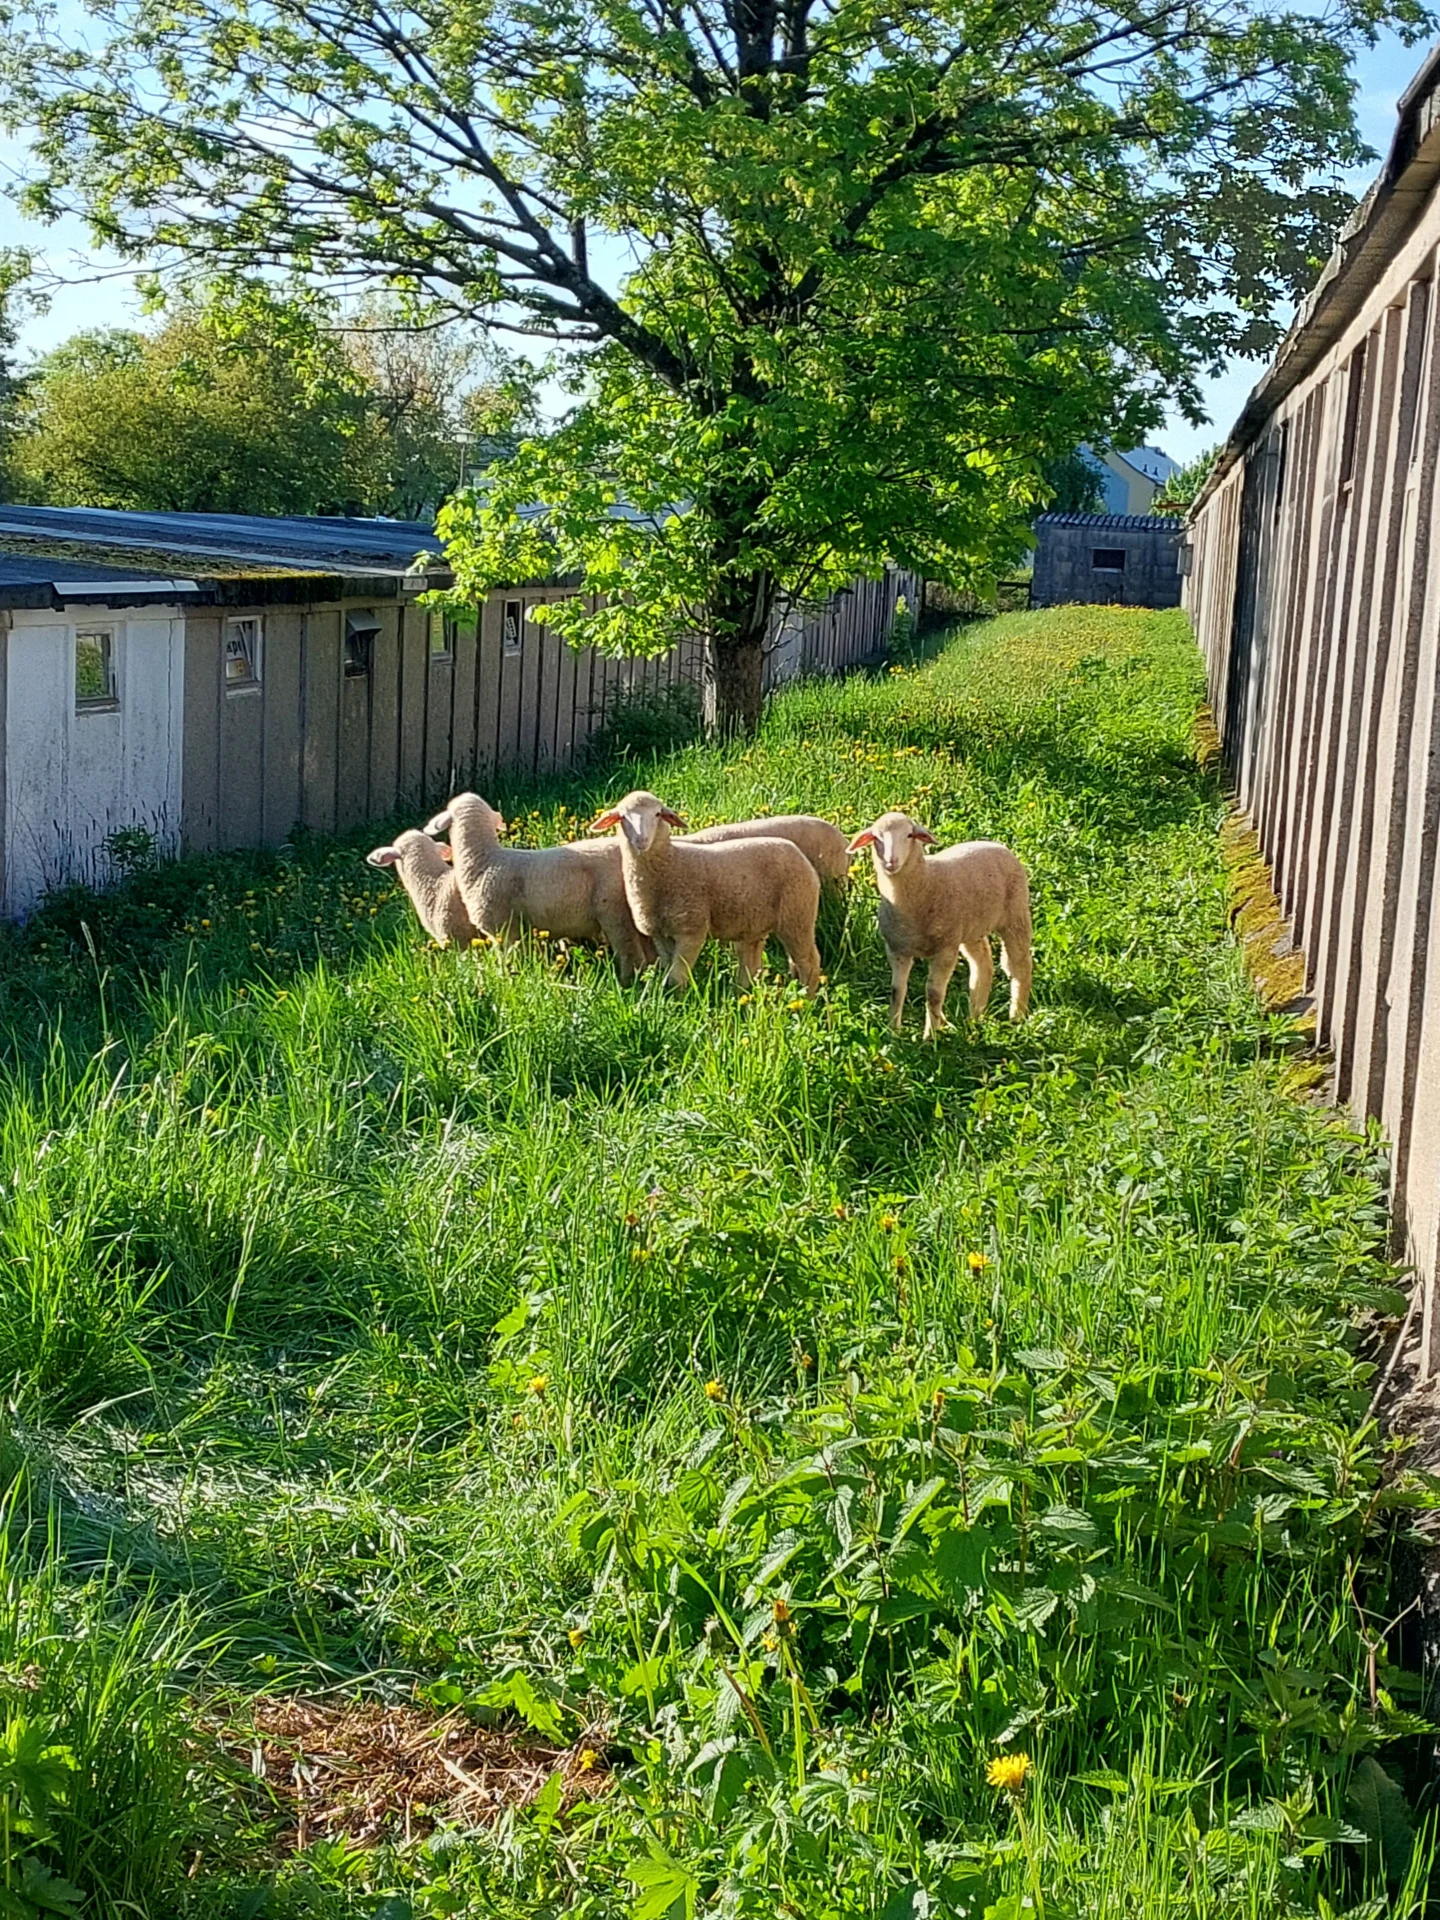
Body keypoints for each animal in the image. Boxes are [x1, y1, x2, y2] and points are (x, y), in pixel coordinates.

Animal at [424, 792, 652, 981]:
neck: (485, 859)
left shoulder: (504, 930)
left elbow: (510, 961)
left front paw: (508, 980)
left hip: (614, 910)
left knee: (629, 950)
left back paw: (629, 982)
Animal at [589, 789, 822, 994]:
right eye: (622, 817)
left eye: (657, 814)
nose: (641, 841)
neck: (669, 863)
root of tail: (797, 853)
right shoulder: (660, 933)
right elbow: (670, 974)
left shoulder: (692, 929)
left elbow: (676, 978)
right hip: (756, 921)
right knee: (752, 961)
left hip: (797, 914)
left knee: (808, 961)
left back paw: (807, 999)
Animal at [847, 810, 1032, 1037]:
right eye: (876, 837)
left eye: (909, 835)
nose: (891, 862)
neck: (926, 883)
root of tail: (998, 845)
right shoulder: (897, 949)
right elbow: (896, 991)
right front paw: (893, 1031)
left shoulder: (945, 950)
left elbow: (934, 993)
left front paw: (931, 1036)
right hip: (970, 929)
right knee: (983, 964)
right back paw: (975, 1017)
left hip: (1015, 917)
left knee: (1021, 965)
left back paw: (1016, 1016)